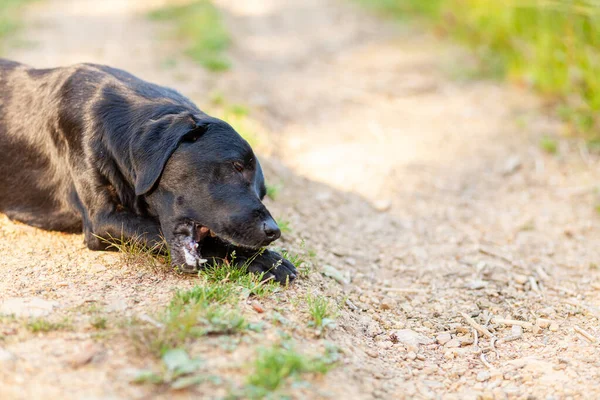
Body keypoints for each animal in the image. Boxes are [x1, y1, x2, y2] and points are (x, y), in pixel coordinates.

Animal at [0, 59, 296, 284]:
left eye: (262, 192)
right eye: (236, 166)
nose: (274, 231)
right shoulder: (103, 220)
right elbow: (201, 241)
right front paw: (263, 260)